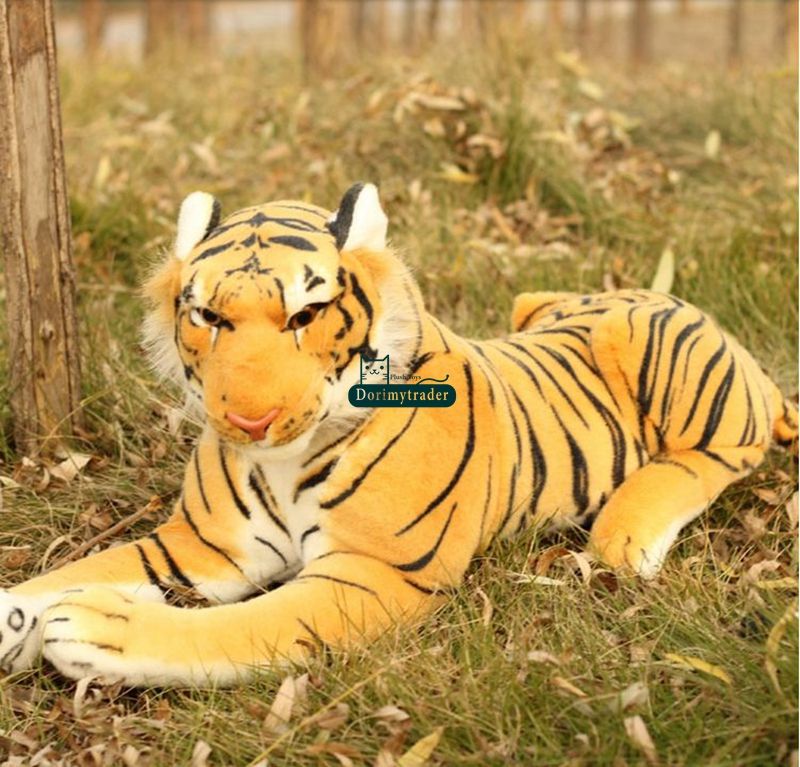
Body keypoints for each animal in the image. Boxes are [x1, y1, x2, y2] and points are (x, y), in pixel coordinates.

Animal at [0, 183, 795, 686]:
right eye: (208, 317)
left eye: (305, 314)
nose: (249, 420)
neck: (282, 460)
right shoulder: (202, 542)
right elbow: (79, 569)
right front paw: (21, 614)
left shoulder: (370, 571)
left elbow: (237, 626)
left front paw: (95, 624)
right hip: (536, 301)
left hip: (654, 350)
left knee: (721, 453)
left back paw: (631, 531)